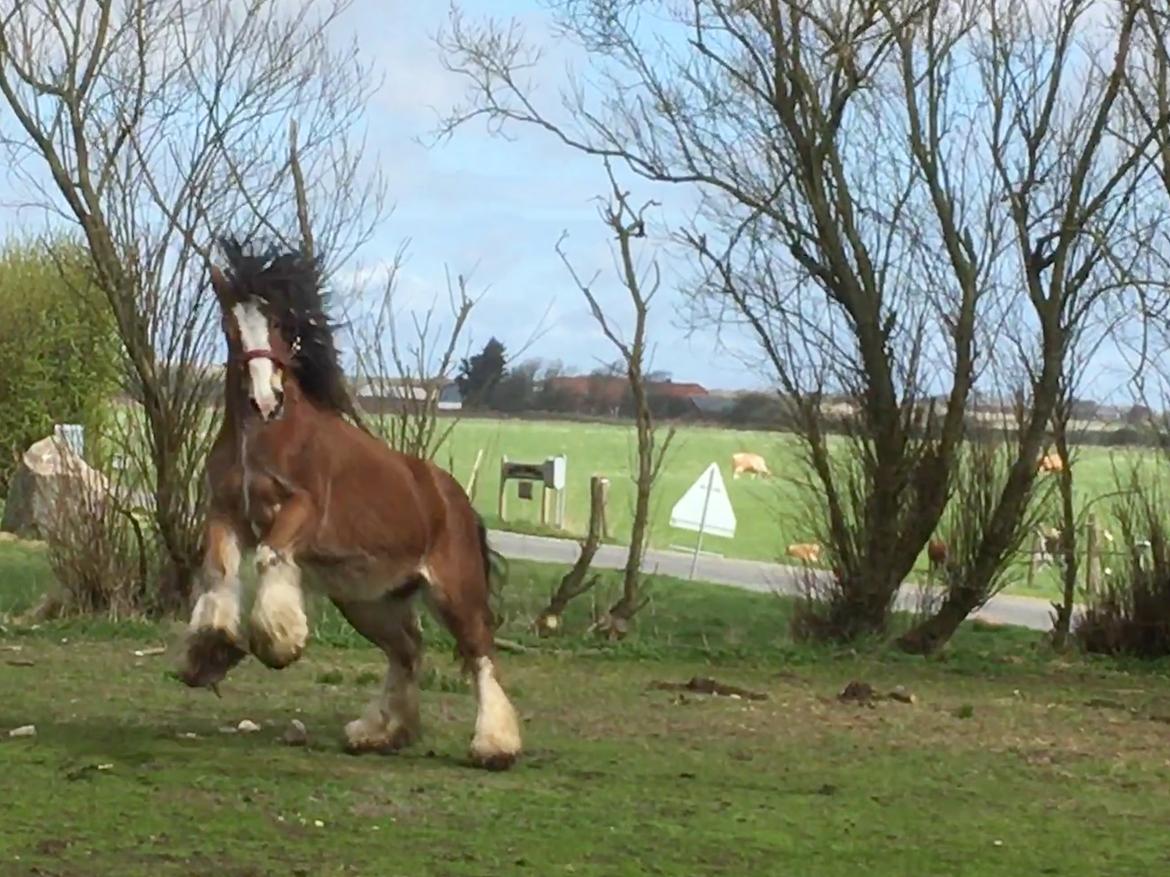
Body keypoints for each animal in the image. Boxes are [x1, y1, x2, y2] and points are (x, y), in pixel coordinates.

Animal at [179, 240, 521, 767]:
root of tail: (455, 499)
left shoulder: (301, 510)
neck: (263, 437)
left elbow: (270, 556)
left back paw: (494, 746)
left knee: (479, 652)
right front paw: (211, 652)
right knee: (407, 650)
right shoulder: (225, 512)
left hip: (454, 591)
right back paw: (382, 733)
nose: (265, 399)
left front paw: (279, 642)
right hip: (369, 601)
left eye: (280, 325)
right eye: (231, 327)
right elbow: (219, 570)